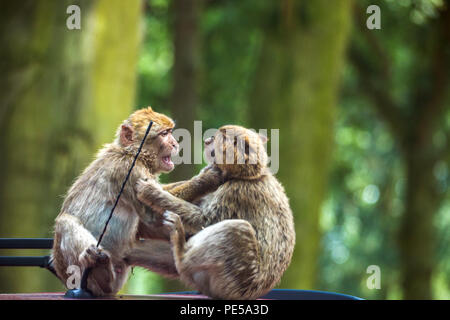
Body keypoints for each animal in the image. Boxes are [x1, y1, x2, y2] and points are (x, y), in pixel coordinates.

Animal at [51, 106, 223, 296]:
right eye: (164, 134)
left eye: (170, 132)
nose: (175, 144)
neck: (134, 153)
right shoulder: (129, 170)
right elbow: (152, 216)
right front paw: (206, 180)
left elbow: (147, 222)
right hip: (79, 273)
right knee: (65, 221)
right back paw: (100, 274)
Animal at [135, 124, 298, 298]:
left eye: (217, 138)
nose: (207, 140)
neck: (242, 176)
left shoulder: (236, 193)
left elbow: (205, 221)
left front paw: (152, 192)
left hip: (238, 277)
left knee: (237, 228)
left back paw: (180, 251)